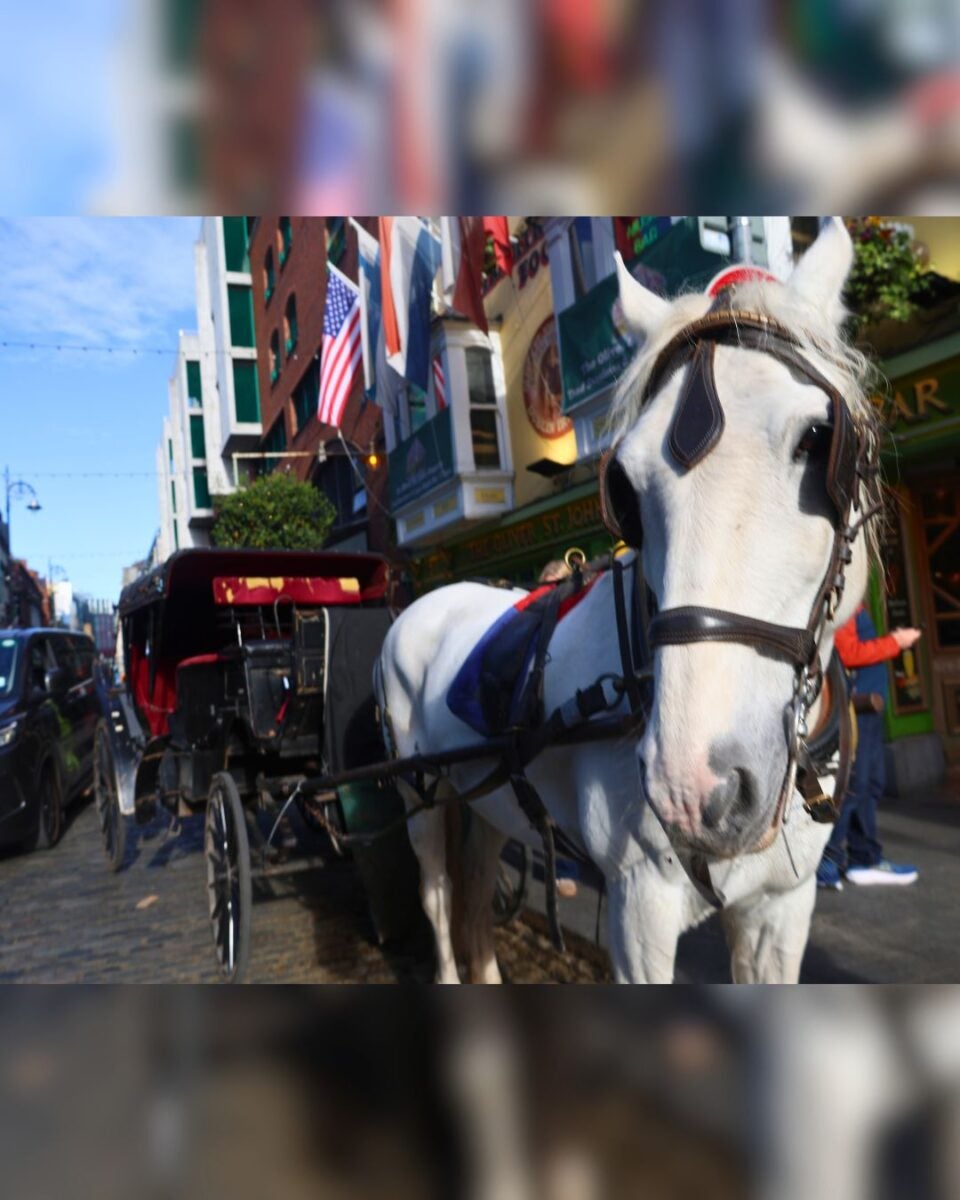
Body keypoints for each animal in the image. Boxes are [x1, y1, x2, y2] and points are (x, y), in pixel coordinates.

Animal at [375, 217, 882, 983]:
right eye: (626, 483)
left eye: (820, 439)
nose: (694, 789)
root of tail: (428, 601)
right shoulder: (638, 906)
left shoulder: (783, 907)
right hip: (421, 796)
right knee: (437, 896)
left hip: (487, 797)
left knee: (476, 888)